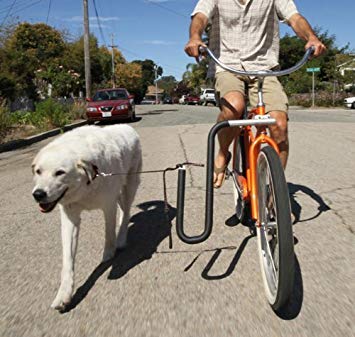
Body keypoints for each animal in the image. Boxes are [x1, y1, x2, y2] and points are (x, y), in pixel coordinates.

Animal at [31, 124, 142, 310]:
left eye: (60, 172)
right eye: (38, 171)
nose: (38, 194)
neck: (86, 183)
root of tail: (126, 125)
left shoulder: (108, 206)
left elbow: (109, 235)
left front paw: (109, 254)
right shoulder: (70, 217)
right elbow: (68, 260)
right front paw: (64, 294)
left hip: (129, 186)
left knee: (126, 212)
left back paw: (121, 239)